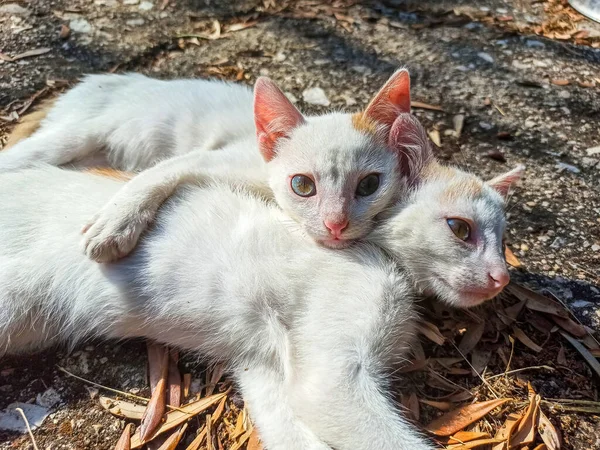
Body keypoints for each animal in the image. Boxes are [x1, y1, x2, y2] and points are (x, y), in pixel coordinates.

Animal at [0, 70, 412, 256]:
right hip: (74, 135)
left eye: (369, 185)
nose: (335, 224)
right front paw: (115, 224)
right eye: (303, 185)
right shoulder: (216, 157)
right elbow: (157, 173)